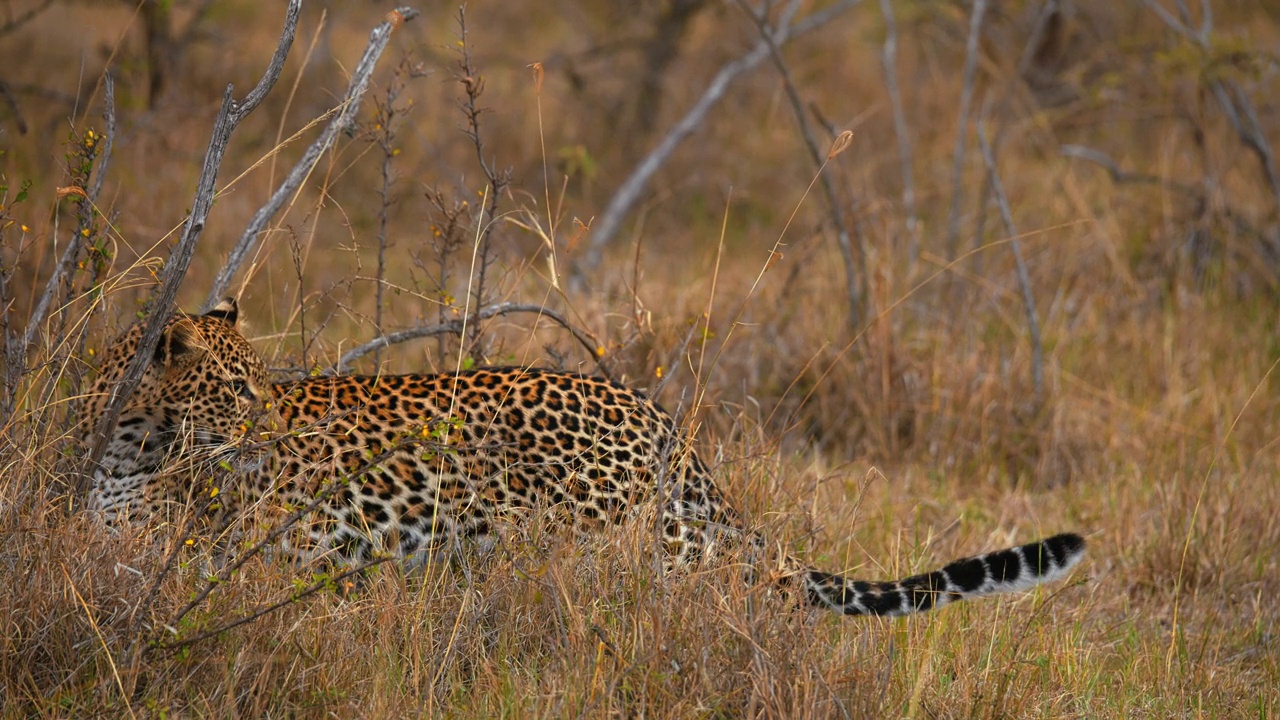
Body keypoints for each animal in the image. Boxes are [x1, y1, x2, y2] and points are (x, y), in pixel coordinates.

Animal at [80, 297, 1085, 609]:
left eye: (264, 390)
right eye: (237, 392)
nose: (280, 435)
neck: (129, 441)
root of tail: (664, 422)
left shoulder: (193, 553)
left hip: (587, 543)